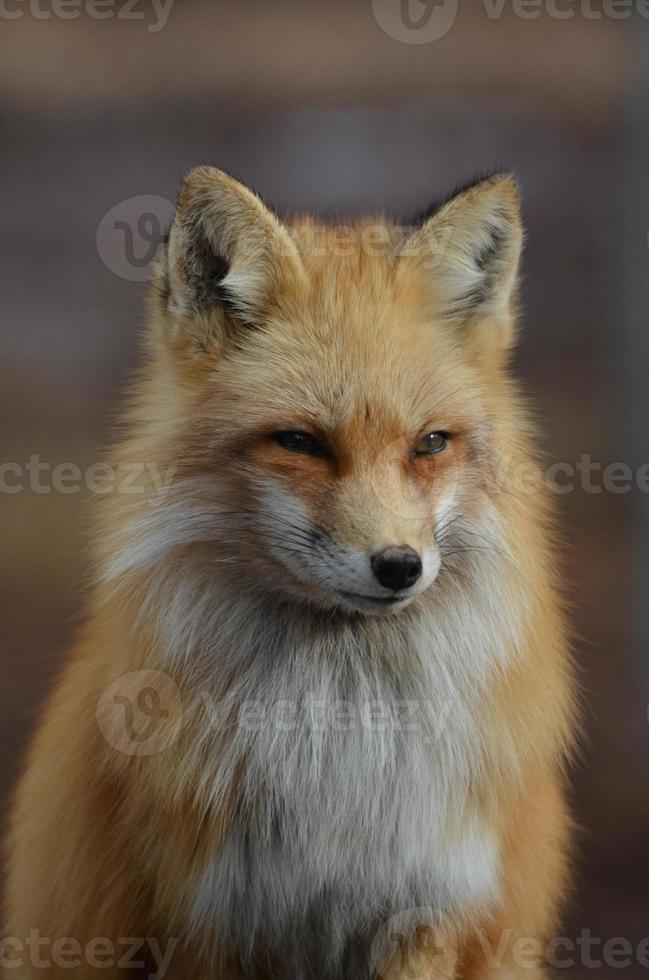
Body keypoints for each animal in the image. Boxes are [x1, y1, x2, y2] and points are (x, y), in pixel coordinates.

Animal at [3, 170, 572, 980]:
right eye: (299, 443)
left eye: (430, 444)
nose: (400, 567)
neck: (341, 743)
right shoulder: (208, 921)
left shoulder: (428, 911)